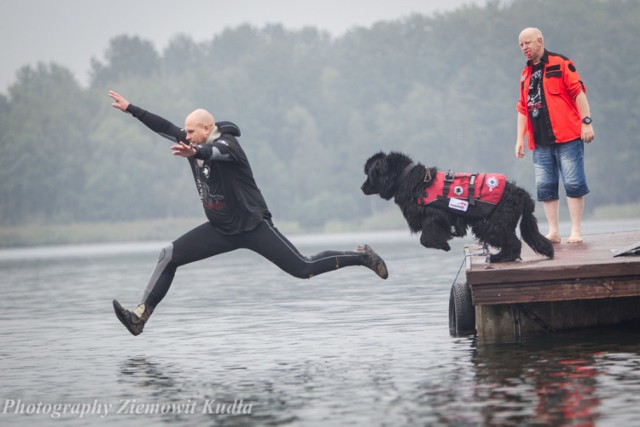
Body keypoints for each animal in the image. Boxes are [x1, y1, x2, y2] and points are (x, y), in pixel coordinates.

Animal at [360, 152, 556, 262]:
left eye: (370, 174)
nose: (362, 187)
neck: (409, 178)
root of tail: (521, 194)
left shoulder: (434, 216)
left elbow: (426, 238)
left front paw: (443, 244)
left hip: (493, 224)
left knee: (513, 243)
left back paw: (498, 257)